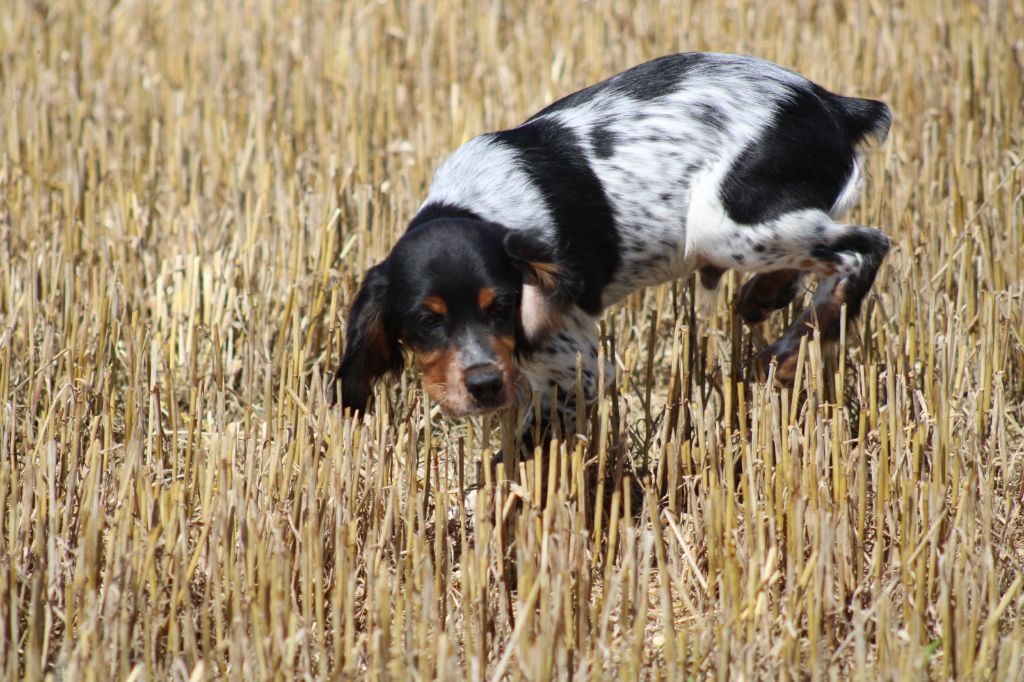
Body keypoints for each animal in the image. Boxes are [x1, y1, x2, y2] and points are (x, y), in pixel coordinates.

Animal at [333, 51, 888, 425]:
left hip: (723, 223)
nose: (484, 384)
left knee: (865, 247)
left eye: (502, 307)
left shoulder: (575, 367)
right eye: (426, 321)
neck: (478, 204)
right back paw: (763, 296)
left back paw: (789, 351)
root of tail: (832, 105)